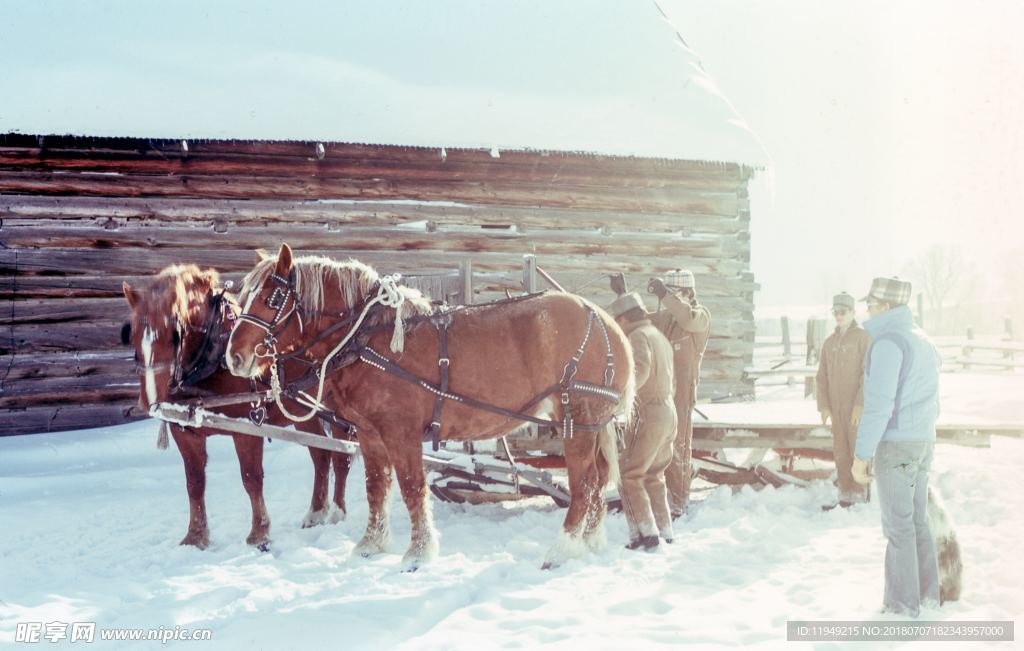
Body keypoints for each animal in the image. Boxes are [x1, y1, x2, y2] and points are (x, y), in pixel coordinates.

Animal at [121, 264, 354, 548]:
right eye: (131, 335)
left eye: (175, 335)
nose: (149, 400)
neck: (212, 358)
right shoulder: (184, 432)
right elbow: (194, 482)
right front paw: (195, 537)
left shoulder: (248, 427)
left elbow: (251, 478)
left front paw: (259, 534)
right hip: (302, 412)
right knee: (321, 455)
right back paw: (315, 513)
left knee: (342, 458)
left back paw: (337, 513)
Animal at [228, 245, 634, 569]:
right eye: (241, 297)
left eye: (272, 298)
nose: (235, 357)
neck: (368, 337)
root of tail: (604, 321)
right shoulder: (370, 433)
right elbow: (377, 487)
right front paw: (370, 545)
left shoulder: (401, 432)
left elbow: (412, 487)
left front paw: (418, 554)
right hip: (591, 425)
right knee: (598, 481)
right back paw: (589, 543)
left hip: (576, 419)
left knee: (583, 485)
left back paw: (562, 550)